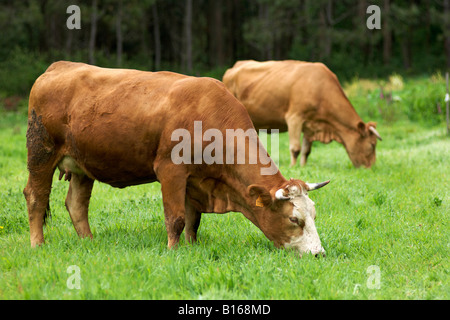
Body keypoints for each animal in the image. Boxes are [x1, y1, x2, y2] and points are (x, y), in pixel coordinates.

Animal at [24, 61, 328, 256]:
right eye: (294, 220)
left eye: (313, 214)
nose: (318, 254)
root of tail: (58, 67)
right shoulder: (171, 171)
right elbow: (176, 218)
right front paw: (173, 250)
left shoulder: (195, 180)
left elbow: (193, 219)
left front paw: (191, 247)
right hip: (41, 153)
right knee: (36, 197)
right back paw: (38, 244)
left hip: (82, 166)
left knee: (76, 204)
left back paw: (89, 243)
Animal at [223, 60, 382, 170]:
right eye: (372, 144)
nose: (372, 168)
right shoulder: (294, 118)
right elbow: (295, 148)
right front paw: (293, 167)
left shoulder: (310, 125)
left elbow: (306, 150)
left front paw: (303, 166)